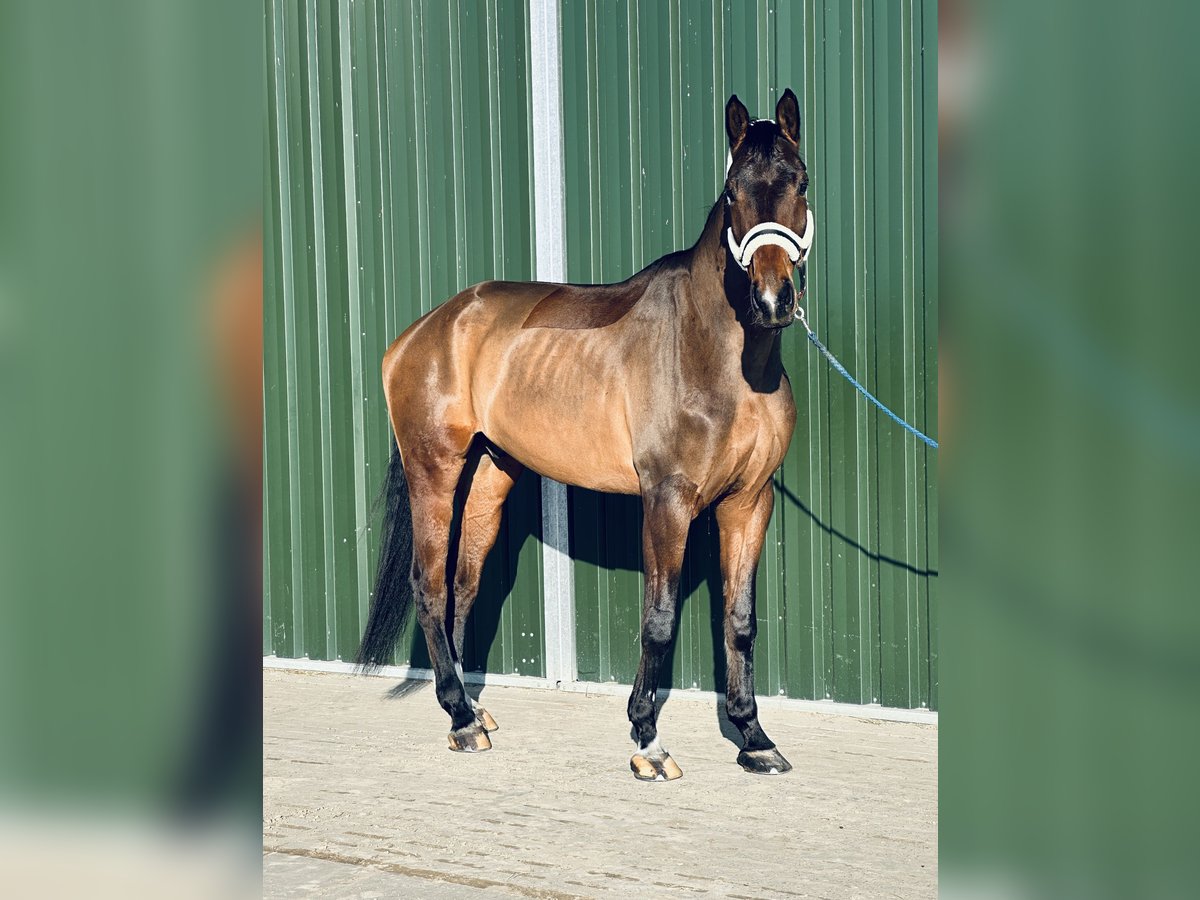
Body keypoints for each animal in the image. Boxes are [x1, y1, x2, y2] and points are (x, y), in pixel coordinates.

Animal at [350, 90, 811, 782]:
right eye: (733, 192)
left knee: (462, 585)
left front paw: (754, 738)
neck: (719, 355)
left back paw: (471, 709)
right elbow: (659, 620)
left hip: (490, 477)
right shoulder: (667, 502)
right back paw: (460, 719)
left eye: (800, 182)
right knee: (429, 586)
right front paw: (648, 740)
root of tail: (426, 329)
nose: (772, 298)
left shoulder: (750, 503)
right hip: (435, 471)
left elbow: (739, 620)